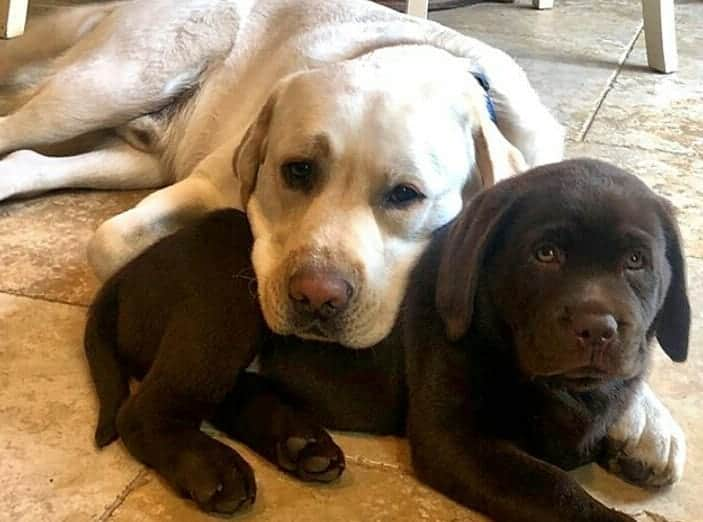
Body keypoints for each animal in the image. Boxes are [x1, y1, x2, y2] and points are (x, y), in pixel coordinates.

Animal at [84, 157, 692, 516]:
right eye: (546, 254)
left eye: (636, 261)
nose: (598, 327)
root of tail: (125, 276)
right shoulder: (454, 439)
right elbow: (557, 490)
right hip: (227, 290)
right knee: (146, 412)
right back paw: (215, 468)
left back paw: (300, 444)